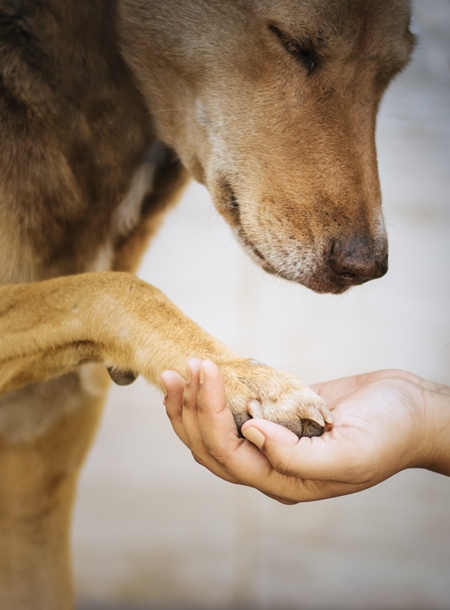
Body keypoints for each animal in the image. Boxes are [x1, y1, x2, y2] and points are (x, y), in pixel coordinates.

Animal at [0, 2, 414, 604]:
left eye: (391, 73)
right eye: (292, 44)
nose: (366, 267)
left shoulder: (33, 501)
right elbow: (113, 286)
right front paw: (249, 378)